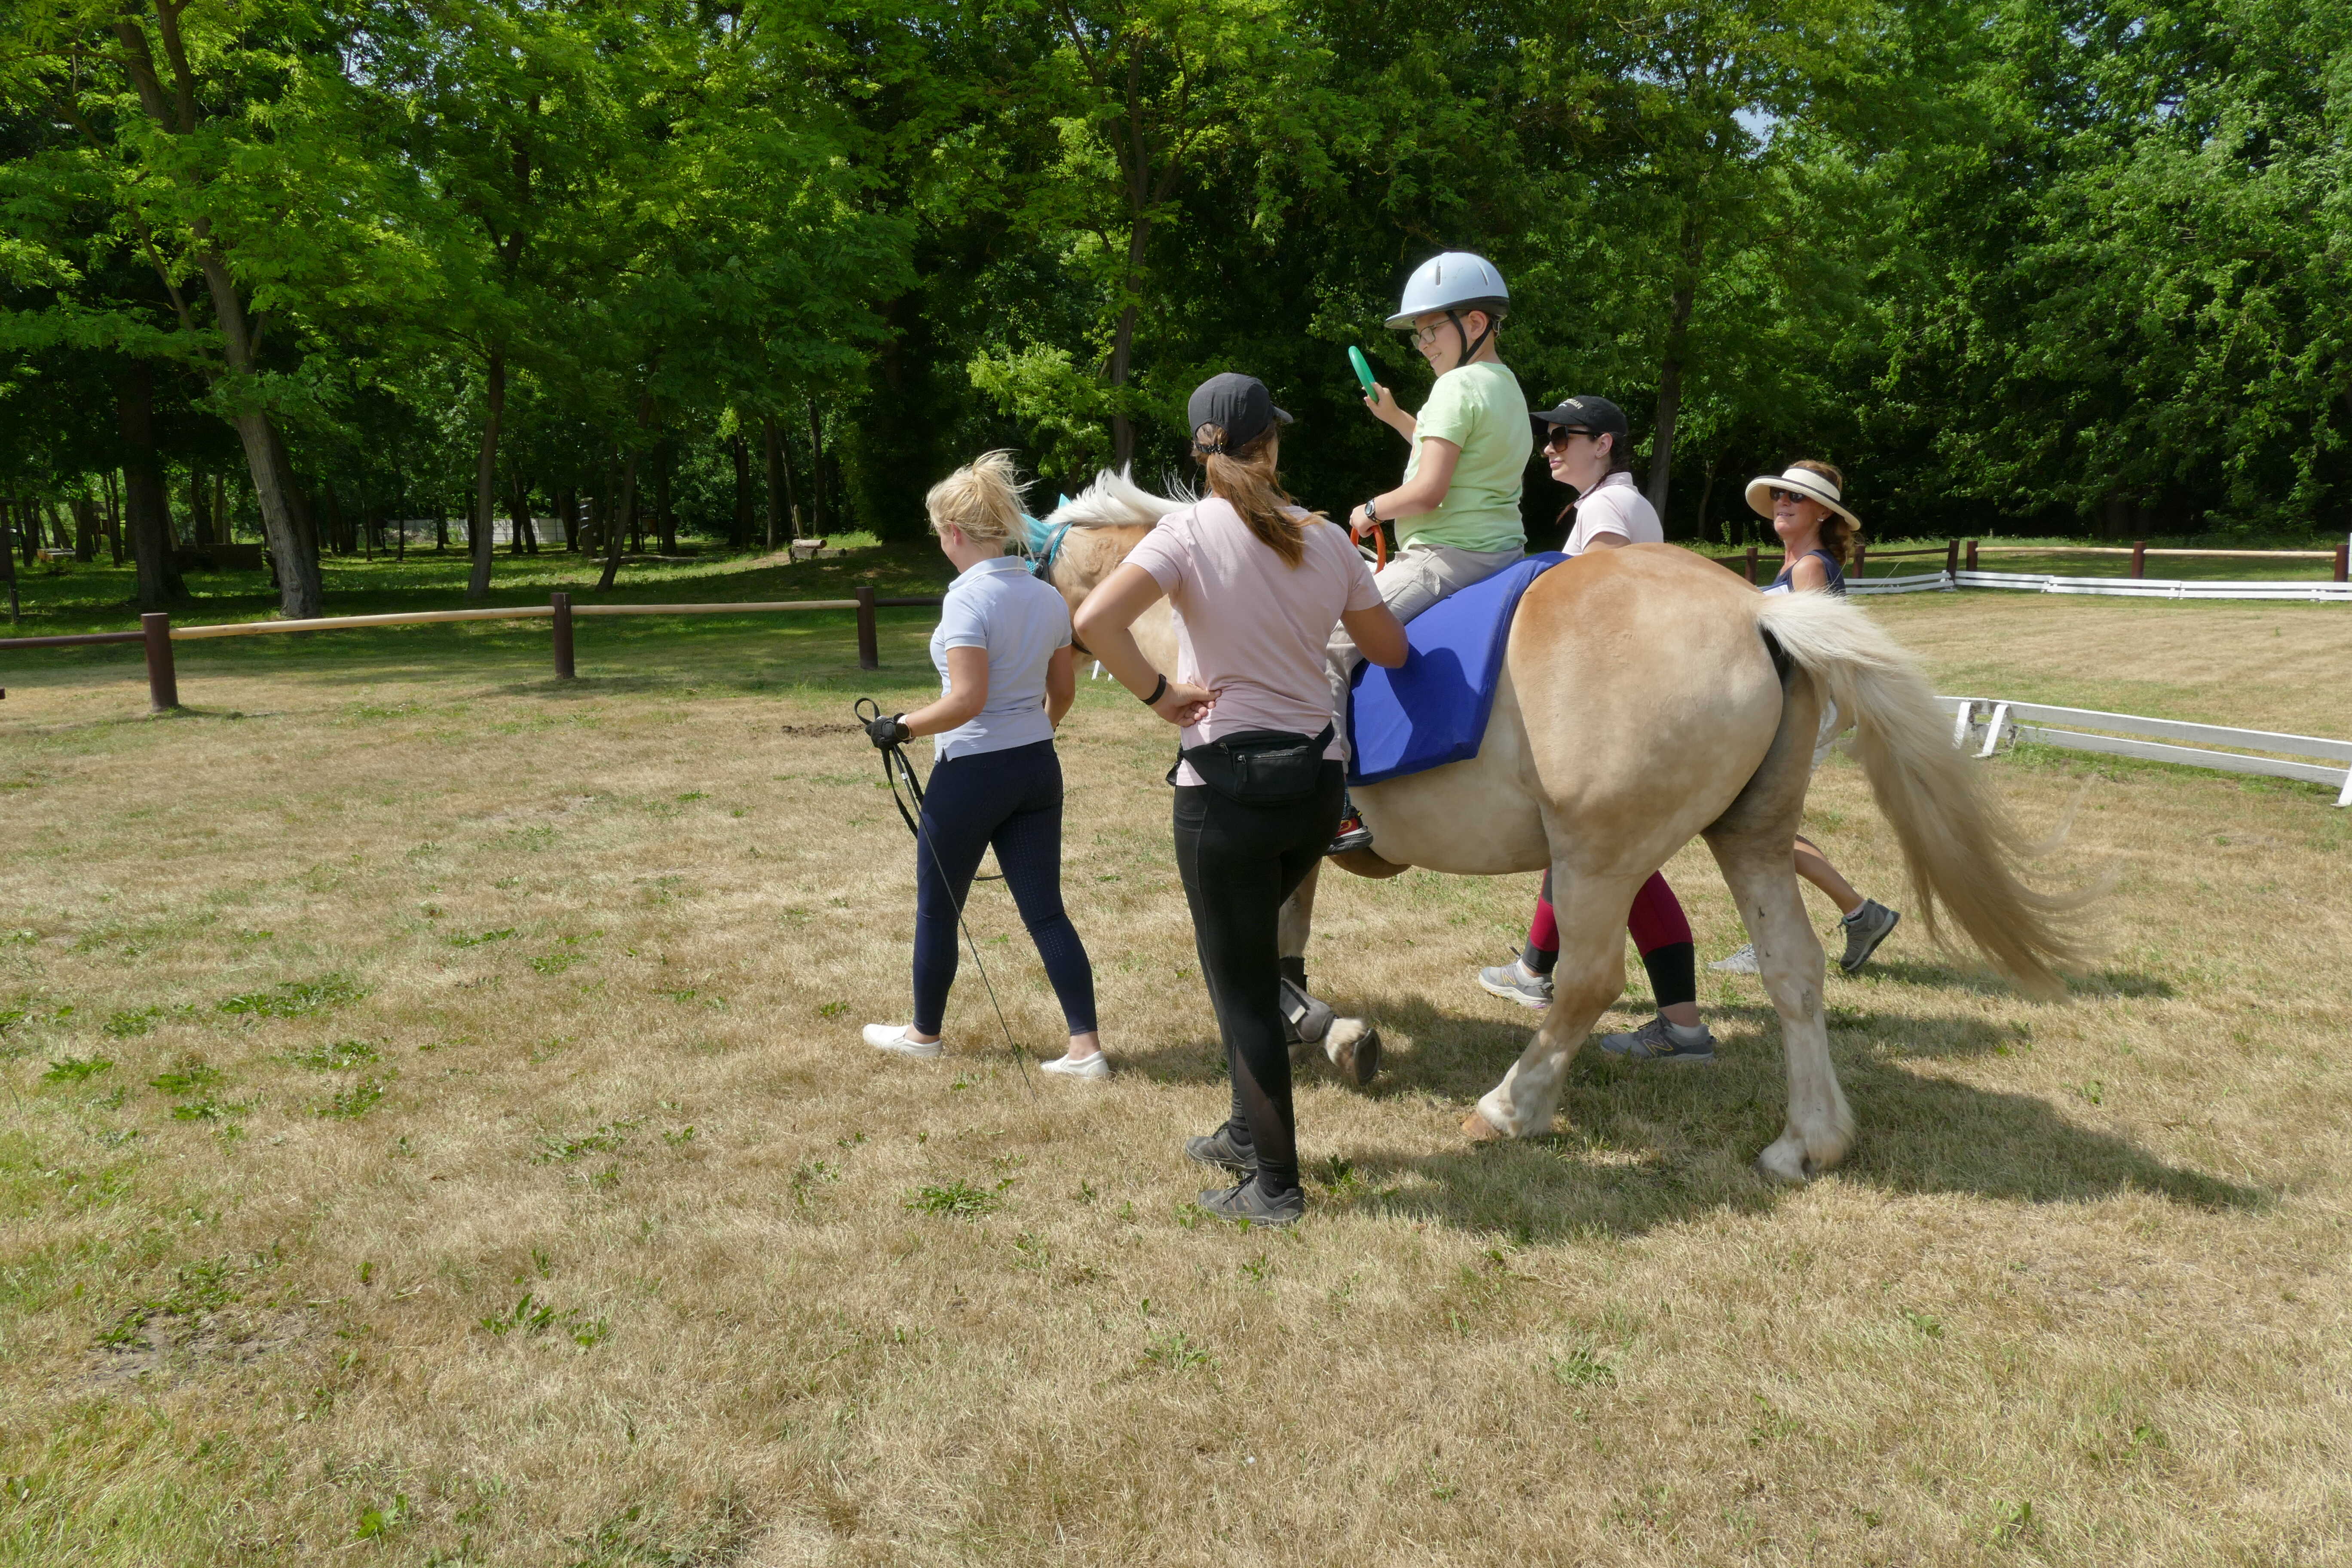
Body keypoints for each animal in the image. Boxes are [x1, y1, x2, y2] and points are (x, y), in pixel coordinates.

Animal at [1030, 470, 2087, 1180]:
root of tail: (1754, 610)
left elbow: (1267, 946)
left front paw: (1319, 1030)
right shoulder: (1297, 845)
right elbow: (1288, 931)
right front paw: (1318, 1025)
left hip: (1598, 857)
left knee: (1588, 984)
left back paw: (1511, 1107)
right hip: (1747, 840)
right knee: (1794, 973)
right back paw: (1807, 1142)